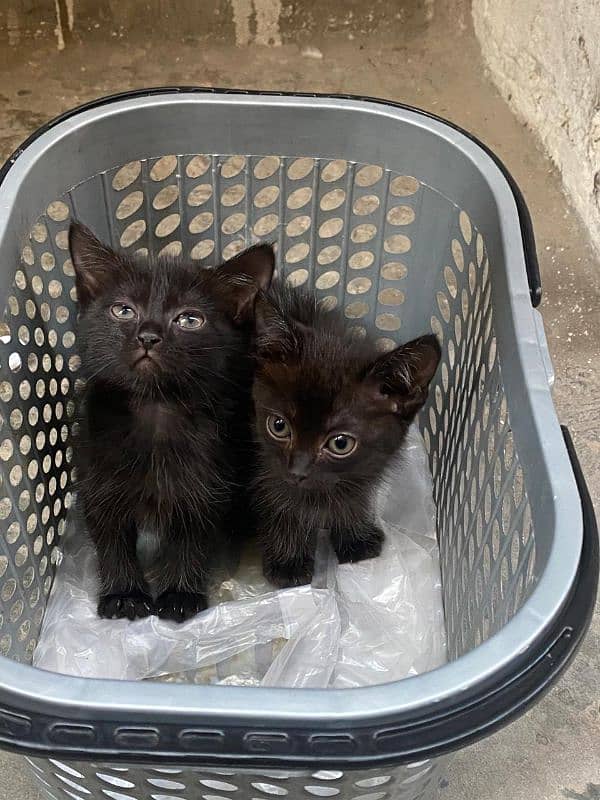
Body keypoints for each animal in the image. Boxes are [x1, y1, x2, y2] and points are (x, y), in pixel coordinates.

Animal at [68, 223, 274, 624]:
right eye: (123, 310)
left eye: (189, 319)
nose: (148, 335)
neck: (156, 409)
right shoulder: (97, 481)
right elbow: (111, 539)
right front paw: (124, 595)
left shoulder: (207, 486)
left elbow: (191, 538)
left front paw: (179, 594)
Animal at [248, 282, 440, 588]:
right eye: (278, 426)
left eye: (340, 443)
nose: (298, 471)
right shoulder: (267, 464)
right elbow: (279, 499)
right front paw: (288, 560)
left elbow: (352, 495)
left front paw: (355, 538)